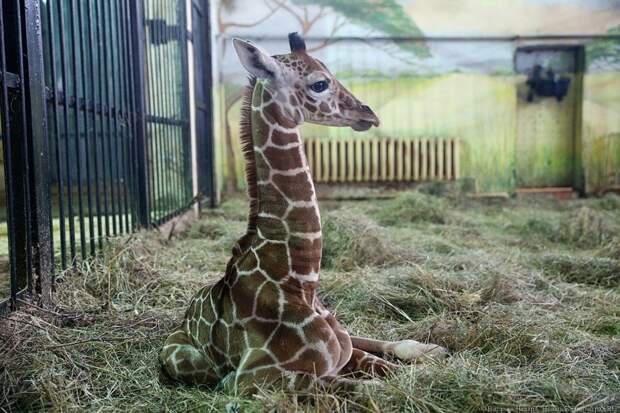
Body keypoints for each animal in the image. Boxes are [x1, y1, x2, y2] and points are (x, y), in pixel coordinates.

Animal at [157, 32, 444, 392]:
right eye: (320, 83)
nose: (369, 114)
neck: (301, 281)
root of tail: (185, 314)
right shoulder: (249, 379)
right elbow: (365, 387)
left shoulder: (342, 353)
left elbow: (388, 372)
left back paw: (434, 348)